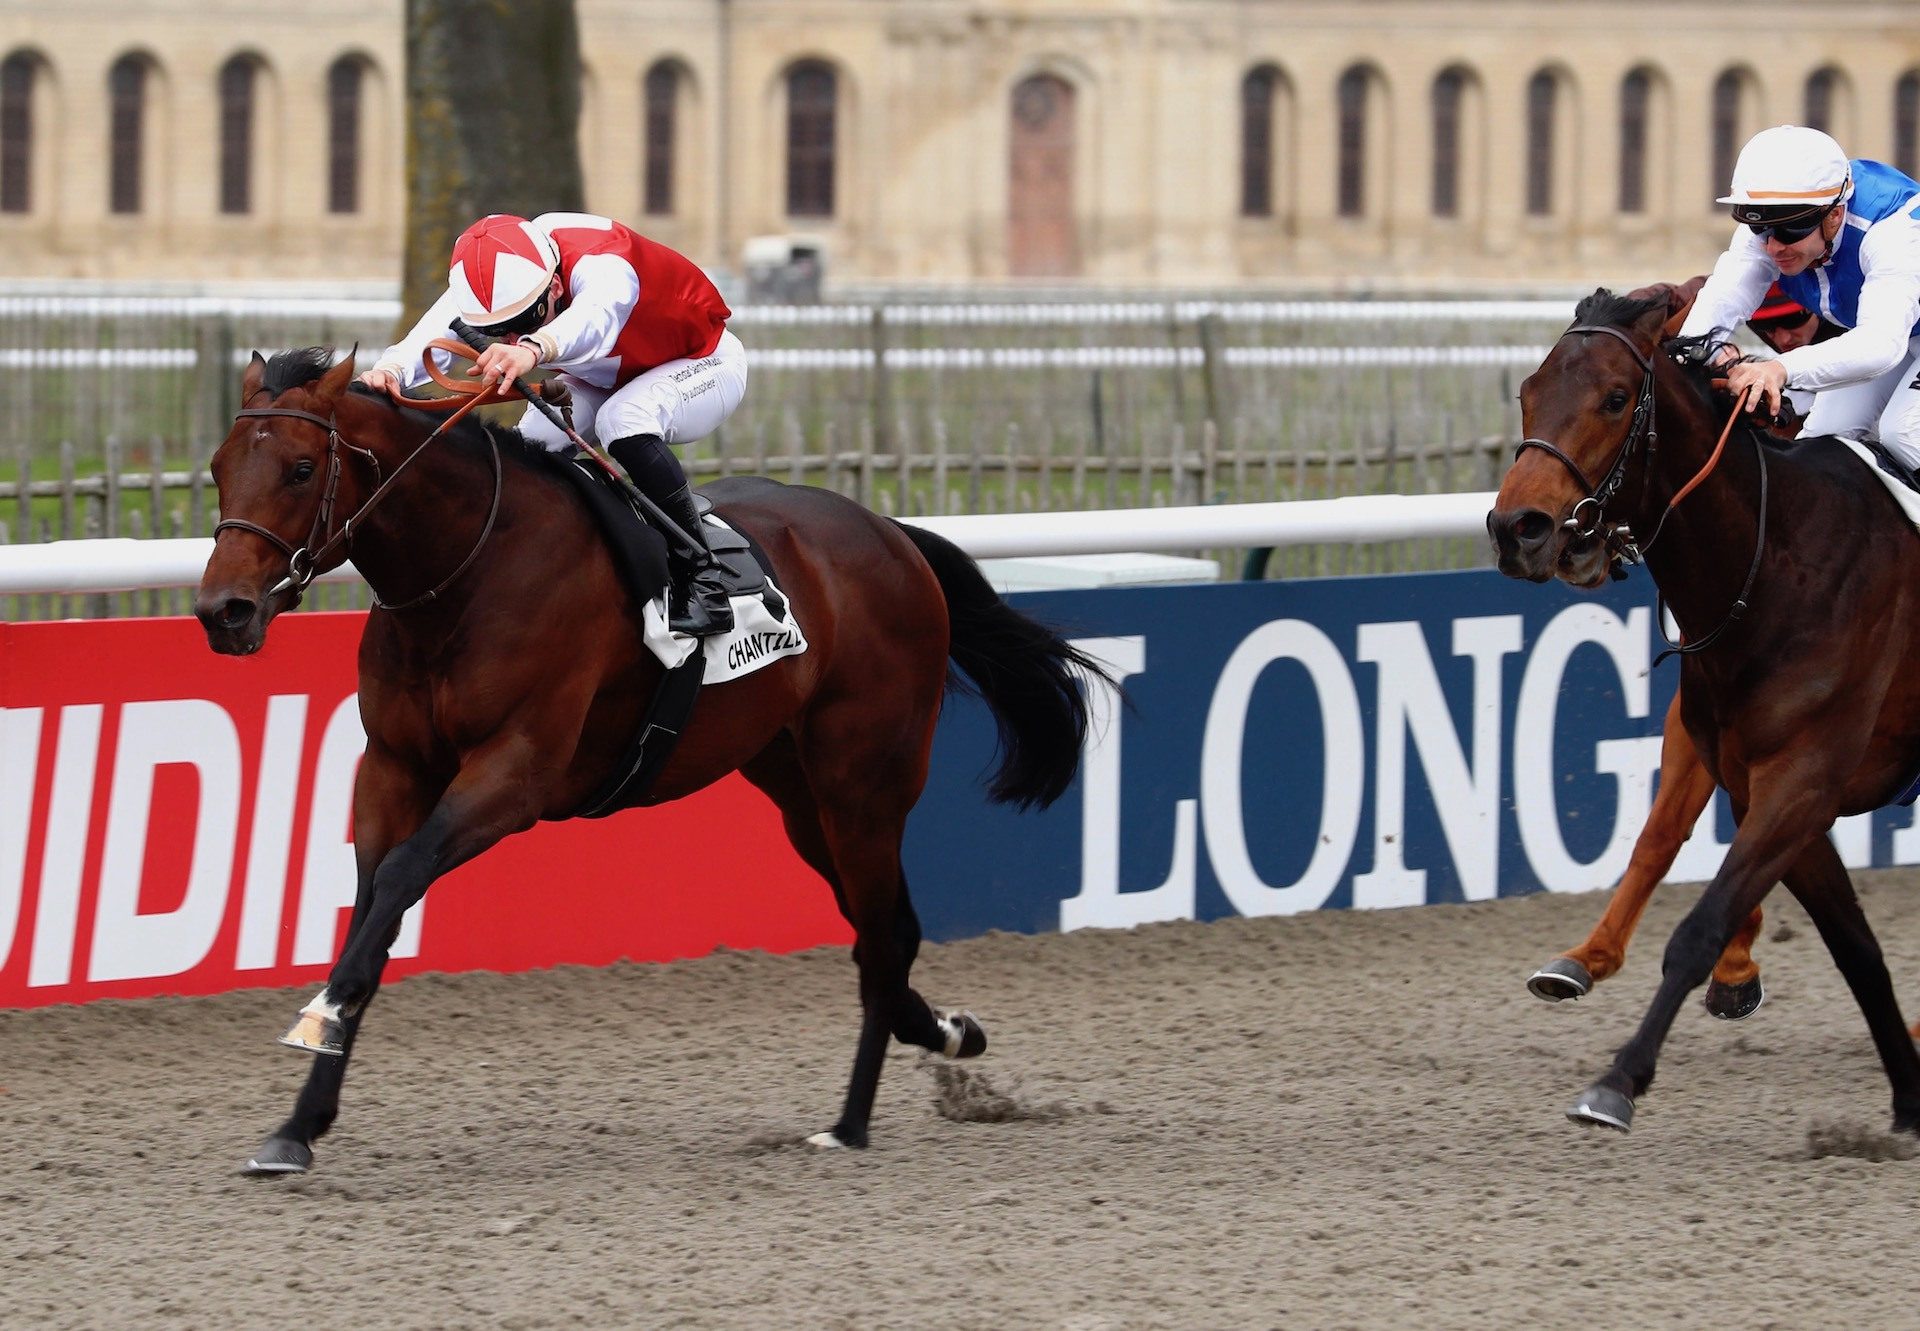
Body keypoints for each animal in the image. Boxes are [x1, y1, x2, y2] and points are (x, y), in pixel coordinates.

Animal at [196, 347, 1113, 1167]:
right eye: (217, 468)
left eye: (302, 467)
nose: (223, 611)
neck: (466, 573)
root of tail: (892, 533)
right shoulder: (393, 768)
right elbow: (374, 911)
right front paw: (299, 1122)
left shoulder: (516, 772)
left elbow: (395, 884)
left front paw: (320, 1012)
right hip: (801, 796)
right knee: (884, 927)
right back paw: (948, 1033)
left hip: (864, 783)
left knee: (884, 935)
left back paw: (848, 1124)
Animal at [1497, 290, 1920, 1129]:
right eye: (1528, 390)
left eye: (1615, 398)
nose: (1516, 528)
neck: (1778, 560)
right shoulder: (1768, 785)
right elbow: (1856, 949)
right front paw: (1911, 1100)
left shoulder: (1803, 780)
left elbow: (1701, 926)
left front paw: (1616, 1081)